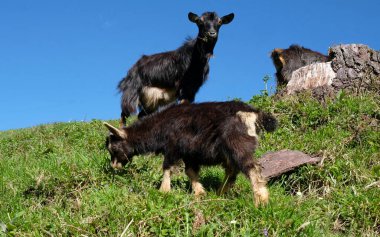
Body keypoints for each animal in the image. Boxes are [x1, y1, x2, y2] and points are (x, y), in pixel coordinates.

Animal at [103, 101, 276, 206]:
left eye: (114, 148)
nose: (114, 166)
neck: (160, 126)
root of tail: (254, 114)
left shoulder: (173, 147)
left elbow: (167, 167)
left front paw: (163, 191)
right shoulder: (190, 154)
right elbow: (190, 171)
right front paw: (200, 193)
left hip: (238, 144)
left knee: (252, 168)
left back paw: (260, 201)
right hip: (228, 151)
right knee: (232, 170)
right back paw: (220, 193)